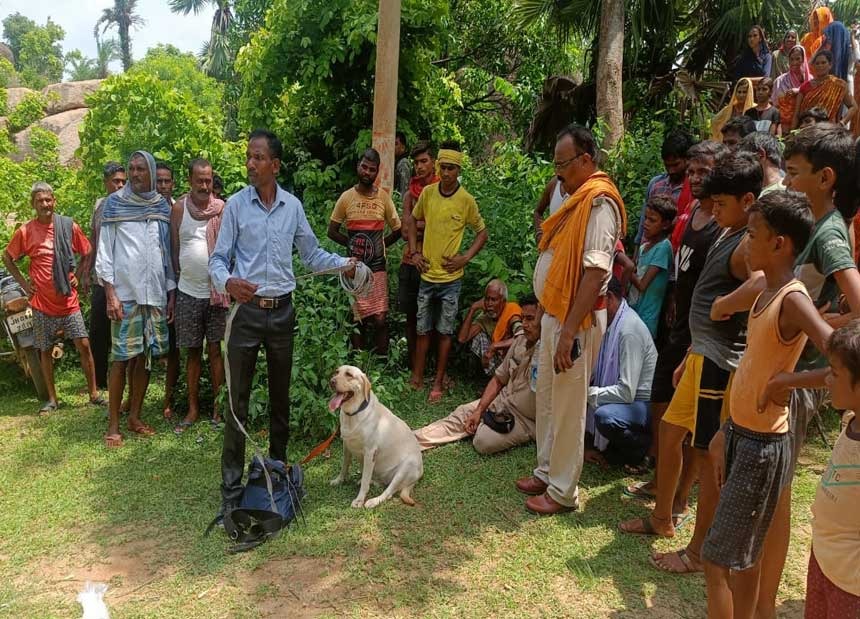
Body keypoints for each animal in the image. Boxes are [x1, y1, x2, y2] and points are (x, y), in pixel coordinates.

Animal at [330, 366, 424, 512]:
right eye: (336, 372)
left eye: (349, 375)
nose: (331, 381)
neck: (353, 414)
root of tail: (419, 475)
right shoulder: (346, 445)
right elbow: (344, 467)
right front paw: (339, 480)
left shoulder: (370, 452)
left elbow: (365, 480)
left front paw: (359, 500)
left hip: (406, 467)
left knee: (388, 492)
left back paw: (373, 501)